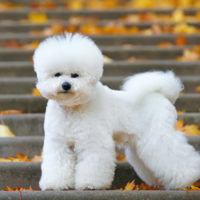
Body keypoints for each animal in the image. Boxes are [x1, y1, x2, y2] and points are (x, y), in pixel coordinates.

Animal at [32, 32, 200, 191]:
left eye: (75, 75)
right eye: (57, 74)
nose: (66, 85)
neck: (73, 108)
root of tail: (163, 95)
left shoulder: (93, 141)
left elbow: (92, 164)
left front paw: (90, 184)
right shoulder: (58, 143)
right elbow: (57, 164)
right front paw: (55, 184)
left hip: (157, 135)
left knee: (175, 156)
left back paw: (187, 179)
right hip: (140, 144)